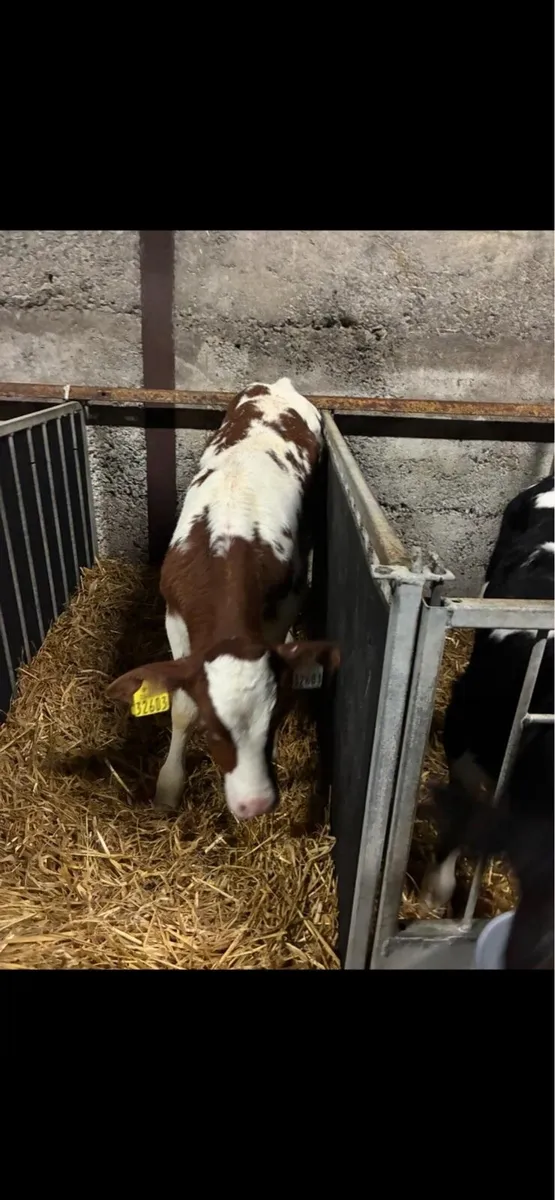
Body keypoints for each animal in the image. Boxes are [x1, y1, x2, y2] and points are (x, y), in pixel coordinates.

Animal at [107, 377, 340, 820]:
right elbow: (181, 705)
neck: (228, 544)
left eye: (274, 721)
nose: (256, 804)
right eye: (214, 731)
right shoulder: (175, 619)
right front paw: (168, 787)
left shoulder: (283, 606)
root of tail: (277, 384)